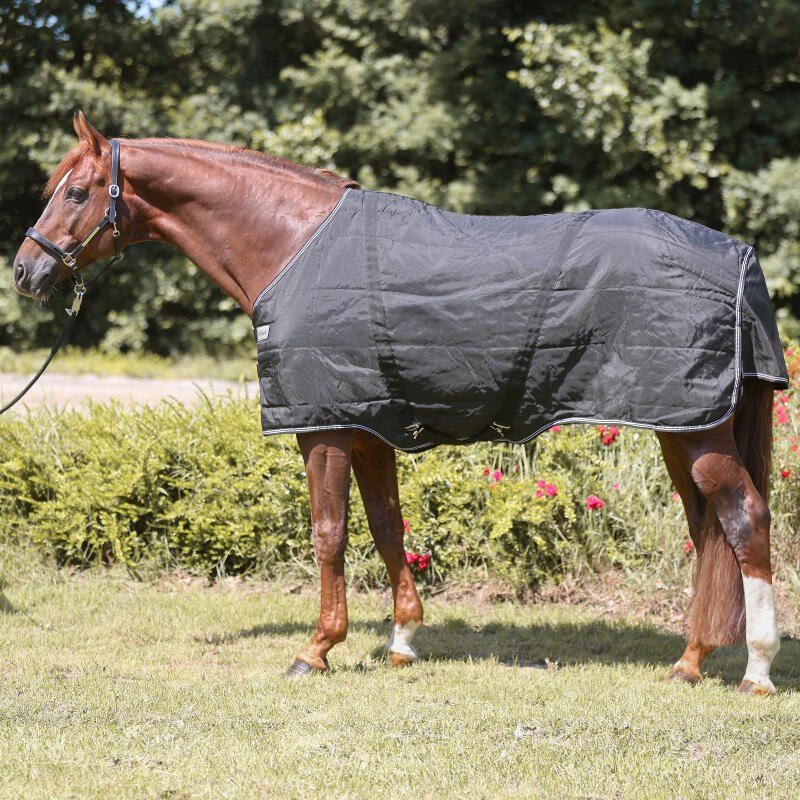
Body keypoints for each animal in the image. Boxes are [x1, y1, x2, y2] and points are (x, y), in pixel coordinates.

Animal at [12, 111, 788, 694]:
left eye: (76, 192)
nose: (25, 270)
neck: (291, 243)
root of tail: (737, 257)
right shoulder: (367, 427)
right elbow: (388, 527)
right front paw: (402, 641)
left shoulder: (322, 427)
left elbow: (328, 533)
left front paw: (315, 649)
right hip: (679, 424)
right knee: (707, 530)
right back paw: (690, 661)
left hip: (694, 428)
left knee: (744, 520)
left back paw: (756, 669)